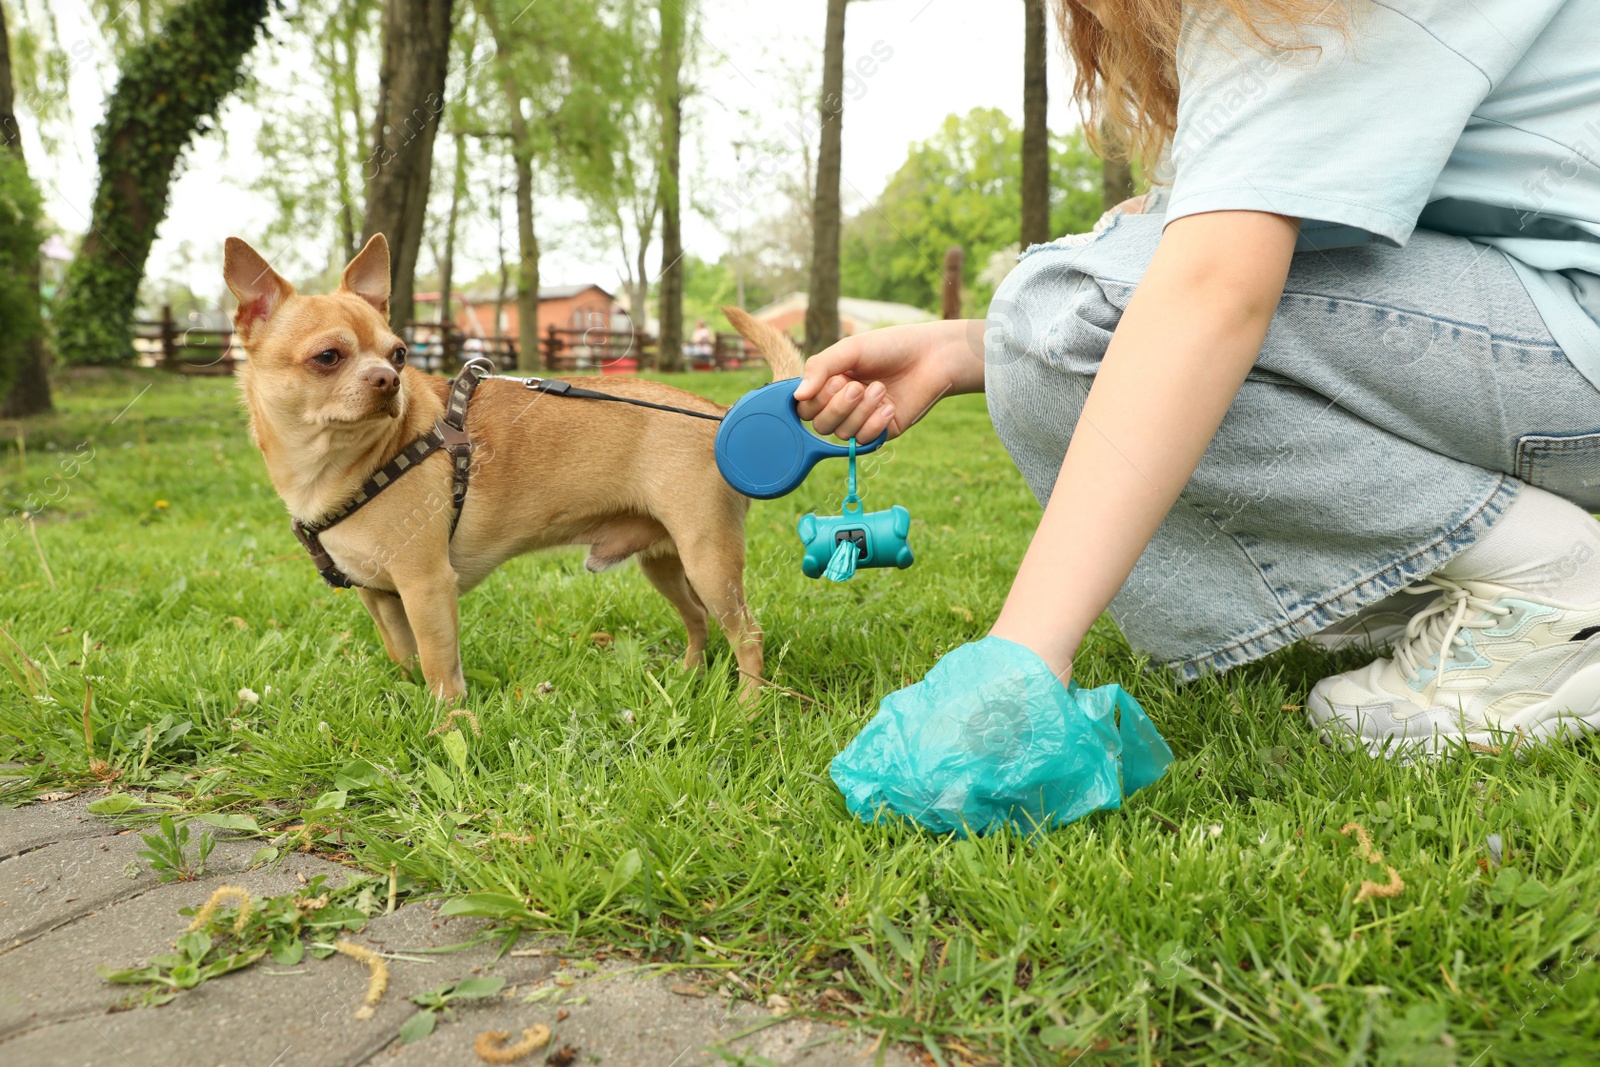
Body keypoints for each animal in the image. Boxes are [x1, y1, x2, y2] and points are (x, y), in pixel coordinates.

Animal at [225, 233, 800, 700]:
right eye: (328, 357)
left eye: (399, 355)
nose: (388, 380)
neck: (338, 466)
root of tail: (720, 412)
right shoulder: (383, 598)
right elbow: (406, 658)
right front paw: (413, 705)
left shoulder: (426, 588)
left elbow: (440, 668)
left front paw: (449, 726)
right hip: (664, 563)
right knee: (698, 620)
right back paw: (688, 678)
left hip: (708, 561)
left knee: (748, 634)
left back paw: (747, 707)